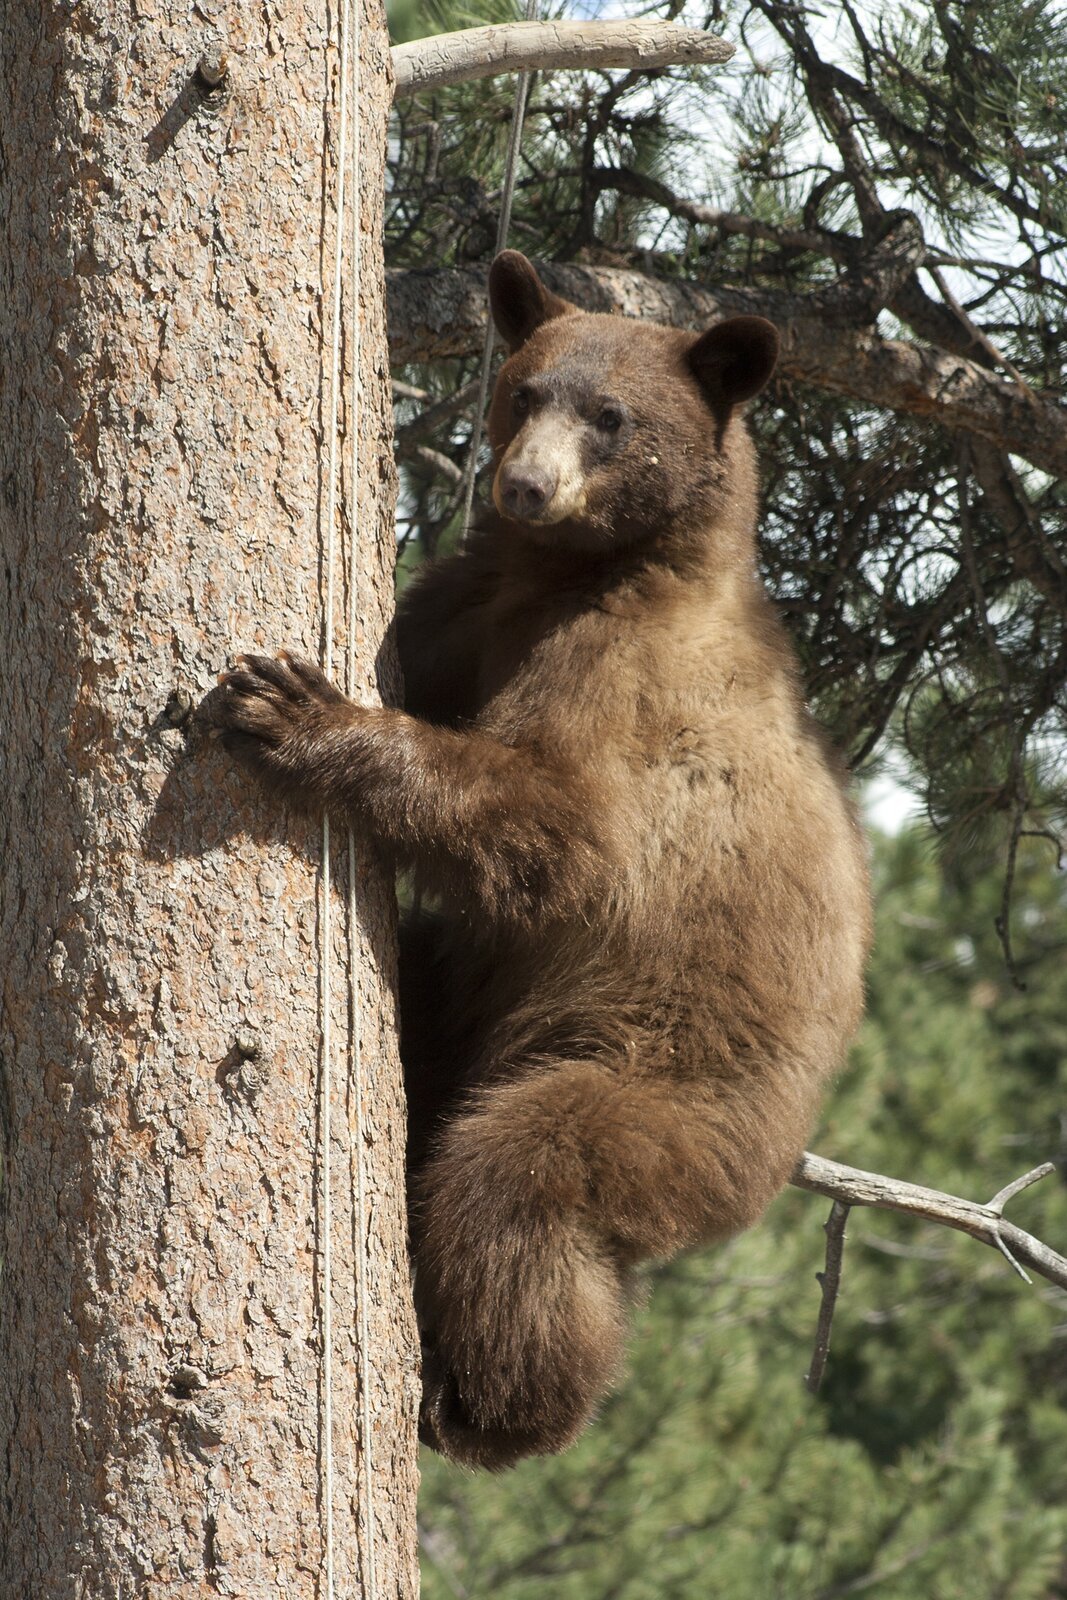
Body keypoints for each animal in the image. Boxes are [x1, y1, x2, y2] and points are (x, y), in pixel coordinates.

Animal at [214, 250, 872, 1471]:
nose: (522, 486)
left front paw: (291, 706)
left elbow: (557, 832)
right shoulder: (475, 609)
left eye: (610, 416)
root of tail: (787, 1143)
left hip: (656, 1087)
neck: (578, 571)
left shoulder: (619, 683)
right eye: (524, 390)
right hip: (487, 1004)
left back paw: (493, 1406)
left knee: (517, 1184)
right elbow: (429, 648)